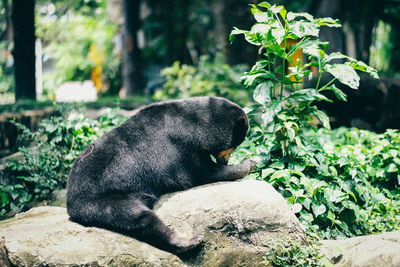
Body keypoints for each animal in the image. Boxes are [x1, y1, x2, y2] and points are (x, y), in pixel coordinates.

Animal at [67, 96, 255, 253]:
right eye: (235, 145)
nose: (225, 161)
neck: (197, 122)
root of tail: (70, 202)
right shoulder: (181, 145)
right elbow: (201, 173)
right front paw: (248, 163)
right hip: (104, 198)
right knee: (139, 217)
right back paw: (190, 241)